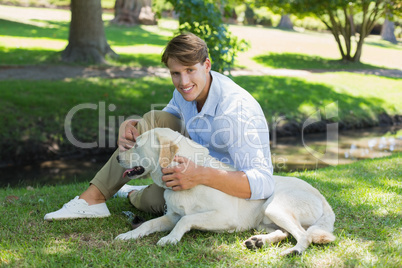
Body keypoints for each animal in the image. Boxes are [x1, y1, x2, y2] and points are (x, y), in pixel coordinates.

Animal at [114, 127, 334, 255]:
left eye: (136, 145)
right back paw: (259, 242)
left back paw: (293, 251)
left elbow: (187, 219)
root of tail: (323, 199)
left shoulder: (225, 217)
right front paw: (129, 235)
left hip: (275, 207)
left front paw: (171, 238)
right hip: (264, 220)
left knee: (303, 235)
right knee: (285, 233)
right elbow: (148, 224)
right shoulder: (172, 216)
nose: (116, 158)